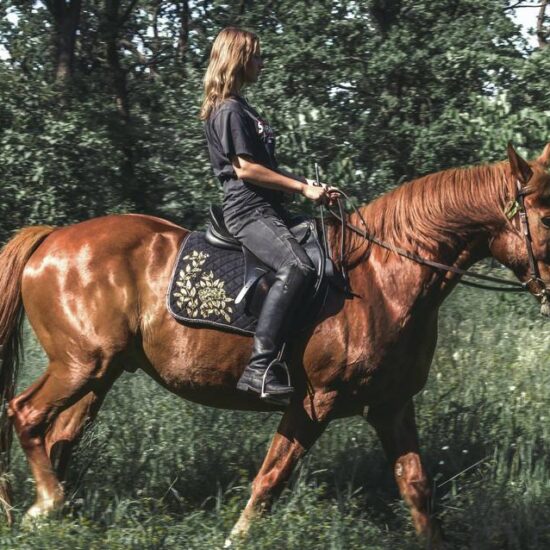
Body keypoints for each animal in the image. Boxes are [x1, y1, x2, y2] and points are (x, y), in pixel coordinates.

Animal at [0, 143, 548, 548]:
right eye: (544, 218)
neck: (383, 281)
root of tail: (51, 239)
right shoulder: (315, 401)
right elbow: (272, 477)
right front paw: (237, 538)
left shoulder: (392, 404)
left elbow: (417, 487)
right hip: (81, 364)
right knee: (25, 413)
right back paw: (42, 505)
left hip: (103, 372)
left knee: (58, 435)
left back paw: (49, 510)